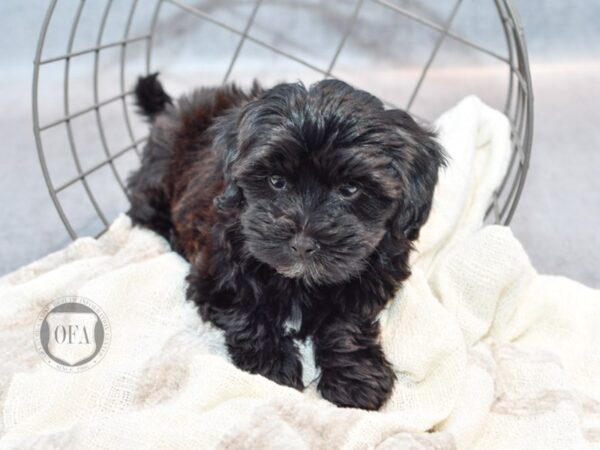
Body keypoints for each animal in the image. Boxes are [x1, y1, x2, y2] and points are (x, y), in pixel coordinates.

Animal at [127, 74, 446, 412]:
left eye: (350, 188)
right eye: (276, 181)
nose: (303, 243)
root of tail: (172, 110)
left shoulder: (374, 275)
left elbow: (347, 322)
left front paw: (356, 377)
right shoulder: (215, 271)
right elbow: (245, 306)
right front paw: (272, 363)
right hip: (156, 181)